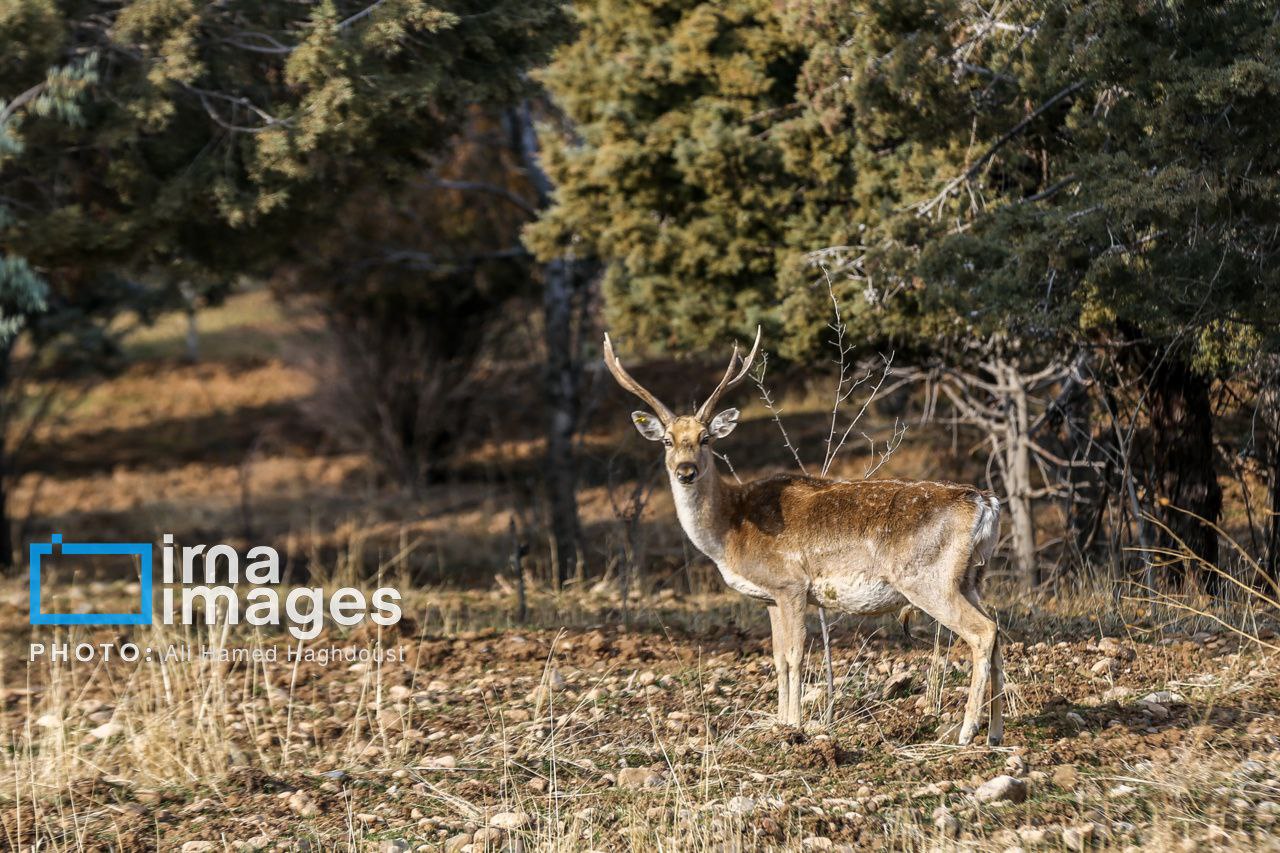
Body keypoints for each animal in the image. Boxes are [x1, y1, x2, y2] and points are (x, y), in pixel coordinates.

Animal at [604, 327, 1003, 742]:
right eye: (667, 440)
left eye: (706, 438)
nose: (685, 471)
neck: (730, 529)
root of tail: (985, 502)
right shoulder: (769, 596)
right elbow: (778, 657)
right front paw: (779, 722)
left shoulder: (791, 584)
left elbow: (795, 656)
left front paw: (794, 726)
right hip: (970, 577)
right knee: (997, 631)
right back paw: (995, 733)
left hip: (927, 578)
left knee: (982, 632)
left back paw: (967, 732)